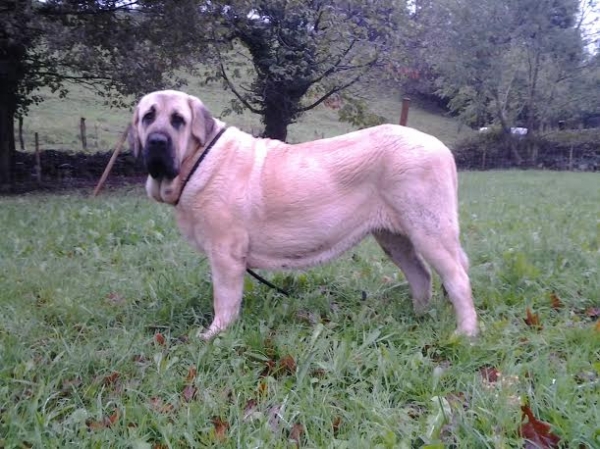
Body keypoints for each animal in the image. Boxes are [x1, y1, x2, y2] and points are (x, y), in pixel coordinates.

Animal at [131, 89, 478, 338]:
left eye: (178, 120)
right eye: (148, 117)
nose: (157, 141)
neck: (198, 160)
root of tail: (442, 148)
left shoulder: (225, 255)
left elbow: (224, 298)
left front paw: (215, 334)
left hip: (429, 231)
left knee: (458, 278)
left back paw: (466, 334)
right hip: (395, 238)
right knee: (421, 274)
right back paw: (418, 315)